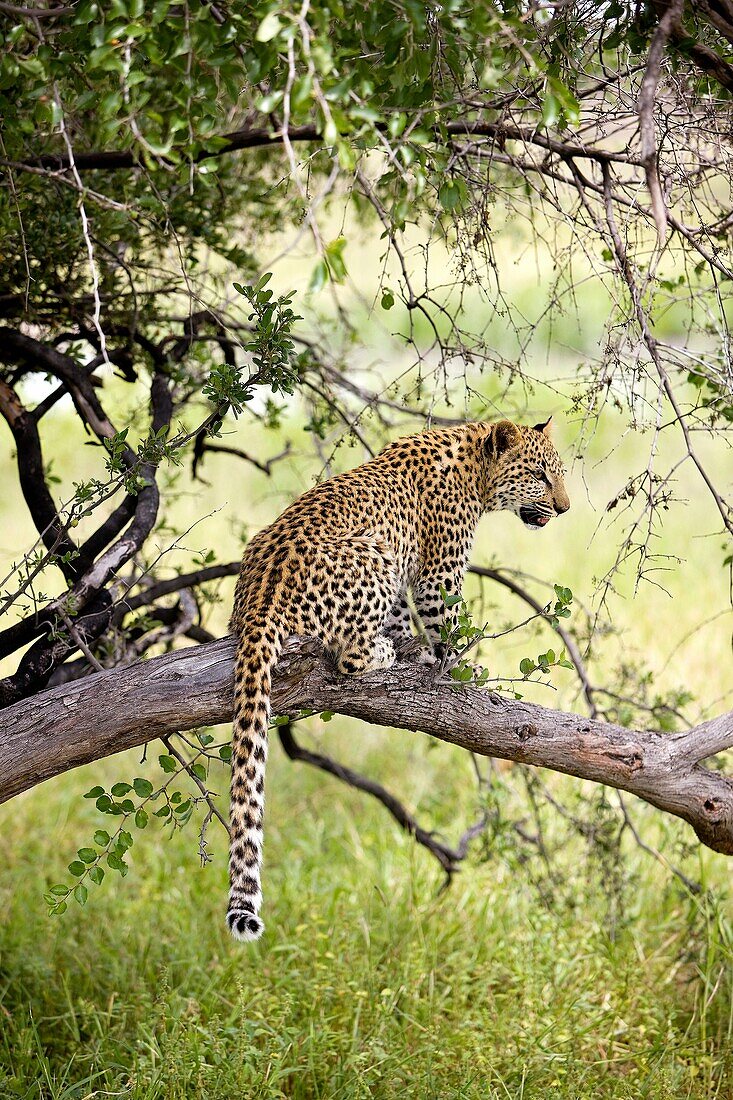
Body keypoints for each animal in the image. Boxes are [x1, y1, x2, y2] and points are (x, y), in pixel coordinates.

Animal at [225, 415, 567, 941]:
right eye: (539, 475)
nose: (565, 508)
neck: (475, 468)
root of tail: (260, 603)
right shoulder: (437, 573)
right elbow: (445, 622)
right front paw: (457, 665)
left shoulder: (413, 576)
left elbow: (406, 617)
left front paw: (416, 645)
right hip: (376, 551)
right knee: (347, 657)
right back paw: (387, 654)